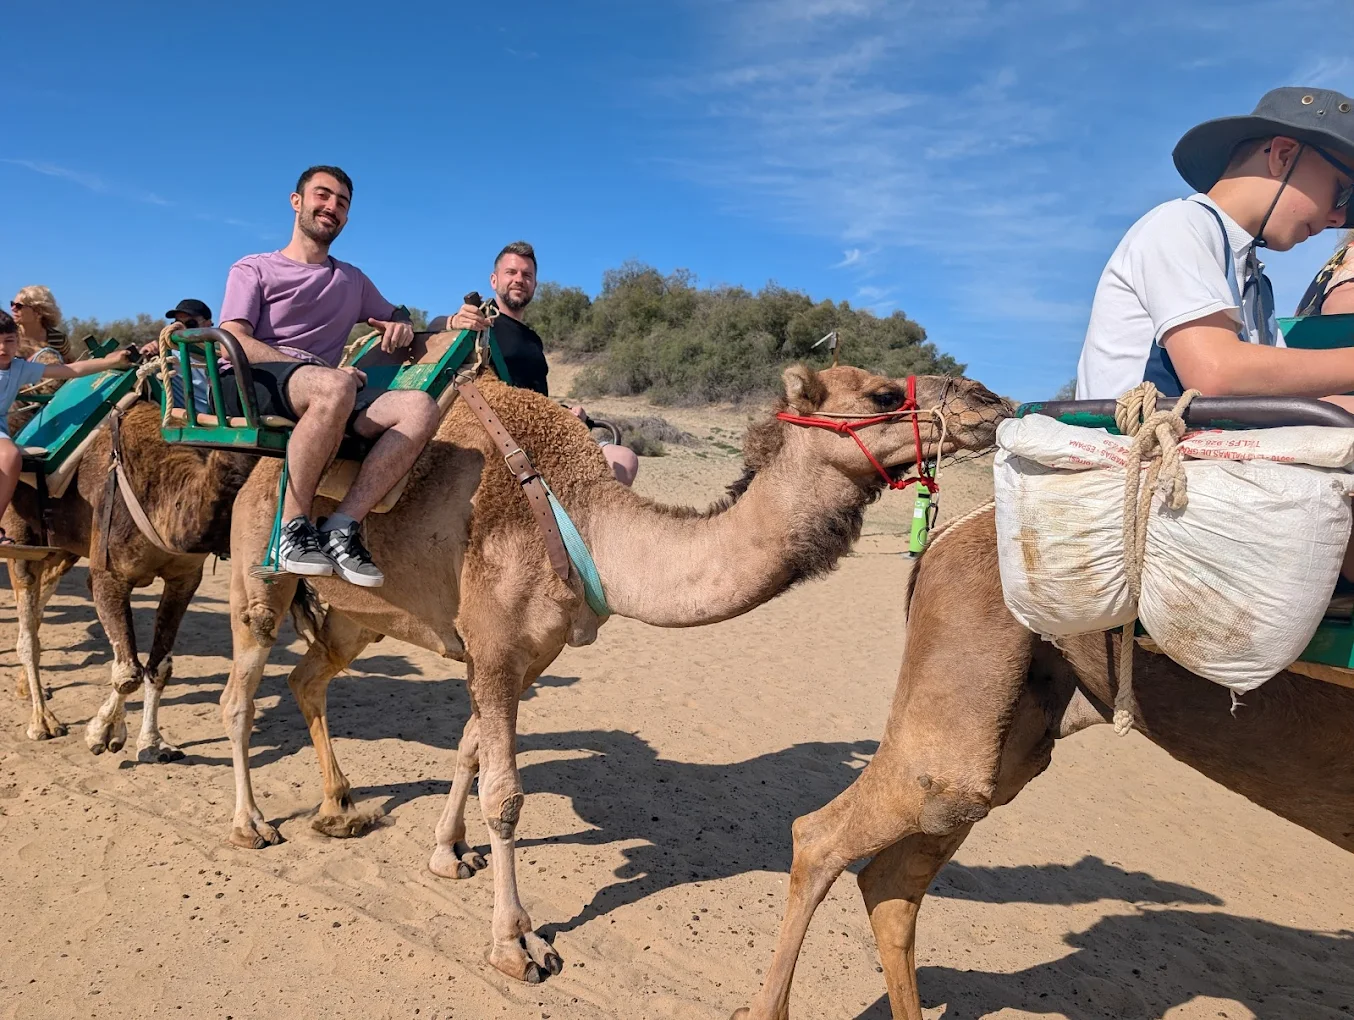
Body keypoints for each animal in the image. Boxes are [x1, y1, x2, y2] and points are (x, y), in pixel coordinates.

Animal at [8, 400, 254, 758]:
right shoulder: (108, 576)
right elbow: (128, 672)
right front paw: (102, 733)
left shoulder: (184, 579)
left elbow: (159, 667)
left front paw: (153, 742)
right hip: (20, 541)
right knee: (28, 631)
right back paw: (43, 722)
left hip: (59, 550)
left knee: (37, 611)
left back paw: (27, 689)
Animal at [218, 364, 1008, 983]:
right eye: (882, 393)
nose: (990, 401)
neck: (583, 522)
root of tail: (263, 465)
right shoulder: (495, 645)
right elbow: (506, 794)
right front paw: (517, 946)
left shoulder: (522, 657)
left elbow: (472, 750)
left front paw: (446, 855)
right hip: (260, 573)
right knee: (241, 691)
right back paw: (251, 824)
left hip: (362, 618)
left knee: (308, 679)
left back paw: (338, 808)